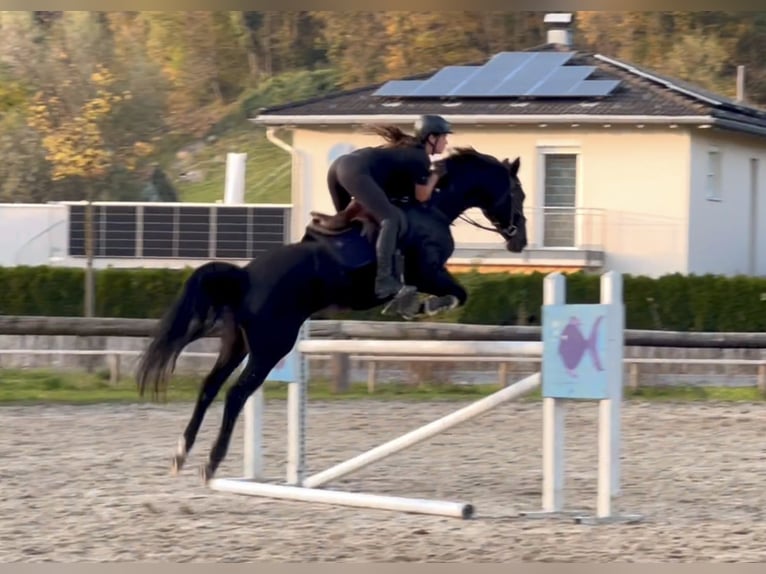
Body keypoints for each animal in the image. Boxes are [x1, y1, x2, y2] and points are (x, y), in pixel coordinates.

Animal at [136, 146, 528, 484]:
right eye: (519, 194)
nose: (519, 241)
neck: (434, 206)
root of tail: (244, 277)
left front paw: (409, 304)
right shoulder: (430, 271)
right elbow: (457, 293)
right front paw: (419, 305)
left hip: (237, 343)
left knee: (209, 387)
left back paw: (181, 453)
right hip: (271, 347)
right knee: (235, 393)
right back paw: (211, 462)